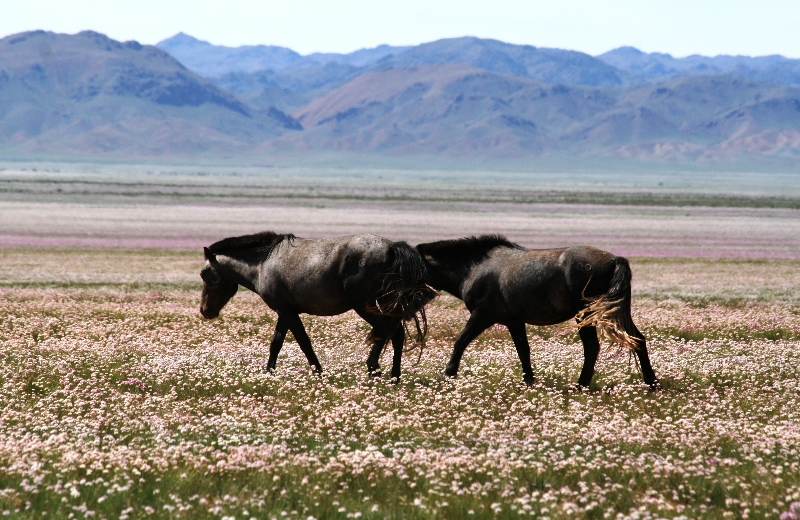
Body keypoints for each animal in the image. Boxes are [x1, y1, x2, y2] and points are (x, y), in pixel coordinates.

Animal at [200, 232, 438, 378]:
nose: (205, 311)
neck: (263, 263)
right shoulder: (285, 312)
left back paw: (374, 369)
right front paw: (269, 372)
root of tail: (392, 248)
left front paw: (318, 371)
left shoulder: (288, 312)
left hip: (366, 307)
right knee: (396, 335)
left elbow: (303, 342)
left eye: (205, 274)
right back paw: (394, 377)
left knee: (384, 331)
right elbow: (276, 343)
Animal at [416, 236, 660, 390]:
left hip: (585, 315)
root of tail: (614, 259)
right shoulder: (514, 321)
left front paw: (449, 374)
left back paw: (580, 385)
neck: (474, 268)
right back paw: (651, 383)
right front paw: (529, 381)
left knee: (592, 347)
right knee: (637, 339)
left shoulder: (482, 316)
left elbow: (460, 342)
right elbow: (523, 350)